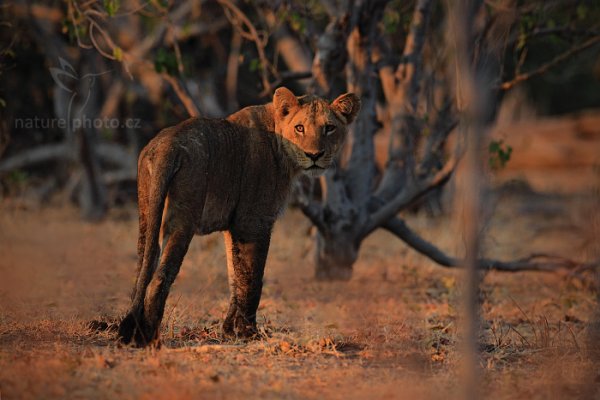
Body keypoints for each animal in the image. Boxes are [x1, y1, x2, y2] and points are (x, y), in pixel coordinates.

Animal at [119, 86, 358, 346]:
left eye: (329, 128)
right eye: (300, 128)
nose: (314, 155)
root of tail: (167, 147)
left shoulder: (231, 226)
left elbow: (235, 277)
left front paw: (228, 330)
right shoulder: (253, 222)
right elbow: (252, 278)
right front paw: (248, 332)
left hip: (147, 212)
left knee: (144, 266)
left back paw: (132, 330)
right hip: (184, 218)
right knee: (160, 276)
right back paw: (150, 337)